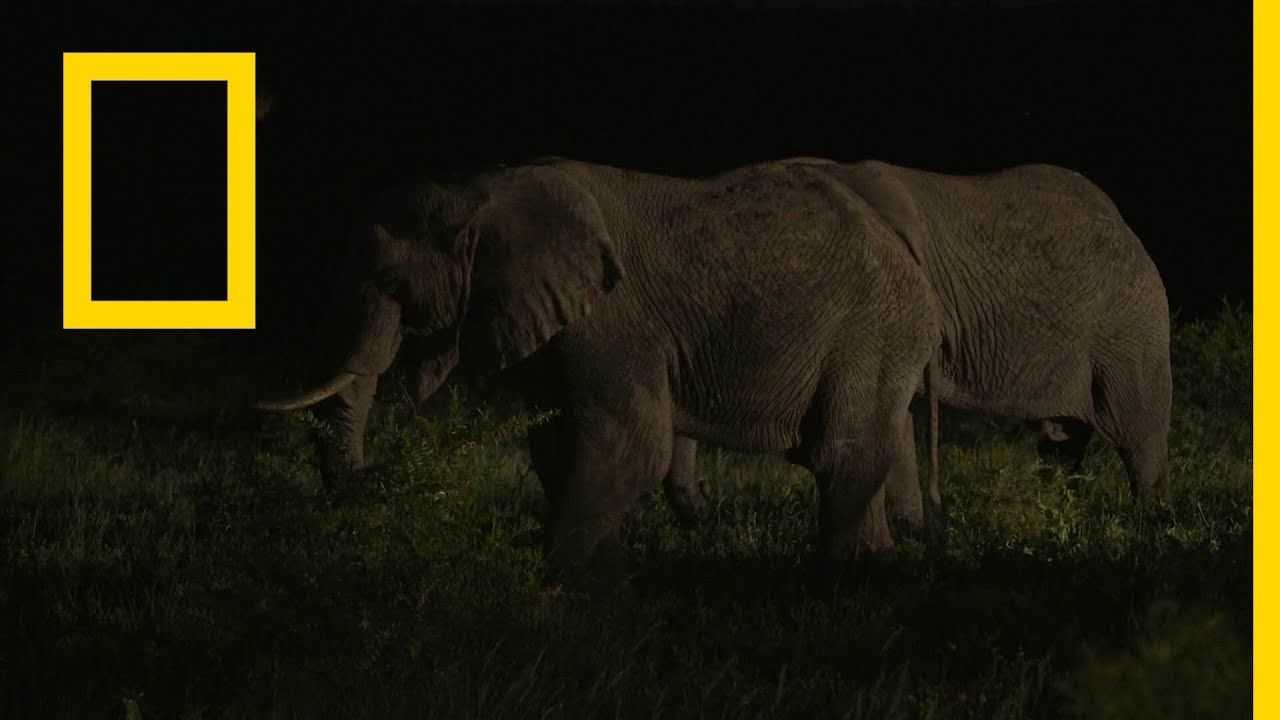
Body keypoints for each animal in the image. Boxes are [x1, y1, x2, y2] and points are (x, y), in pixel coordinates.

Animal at [257, 155, 942, 576]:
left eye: (389, 284)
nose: (372, 479)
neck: (484, 190)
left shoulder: (614, 318)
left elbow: (628, 444)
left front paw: (552, 583)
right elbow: (556, 444)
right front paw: (604, 580)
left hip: (872, 332)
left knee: (840, 453)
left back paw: (836, 578)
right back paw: (875, 568)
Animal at [660, 159, 1172, 525]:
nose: (707, 504)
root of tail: (1125, 225)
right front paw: (912, 529)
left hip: (1131, 320)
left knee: (1136, 425)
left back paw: (1148, 520)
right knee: (1062, 437)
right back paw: (1059, 509)